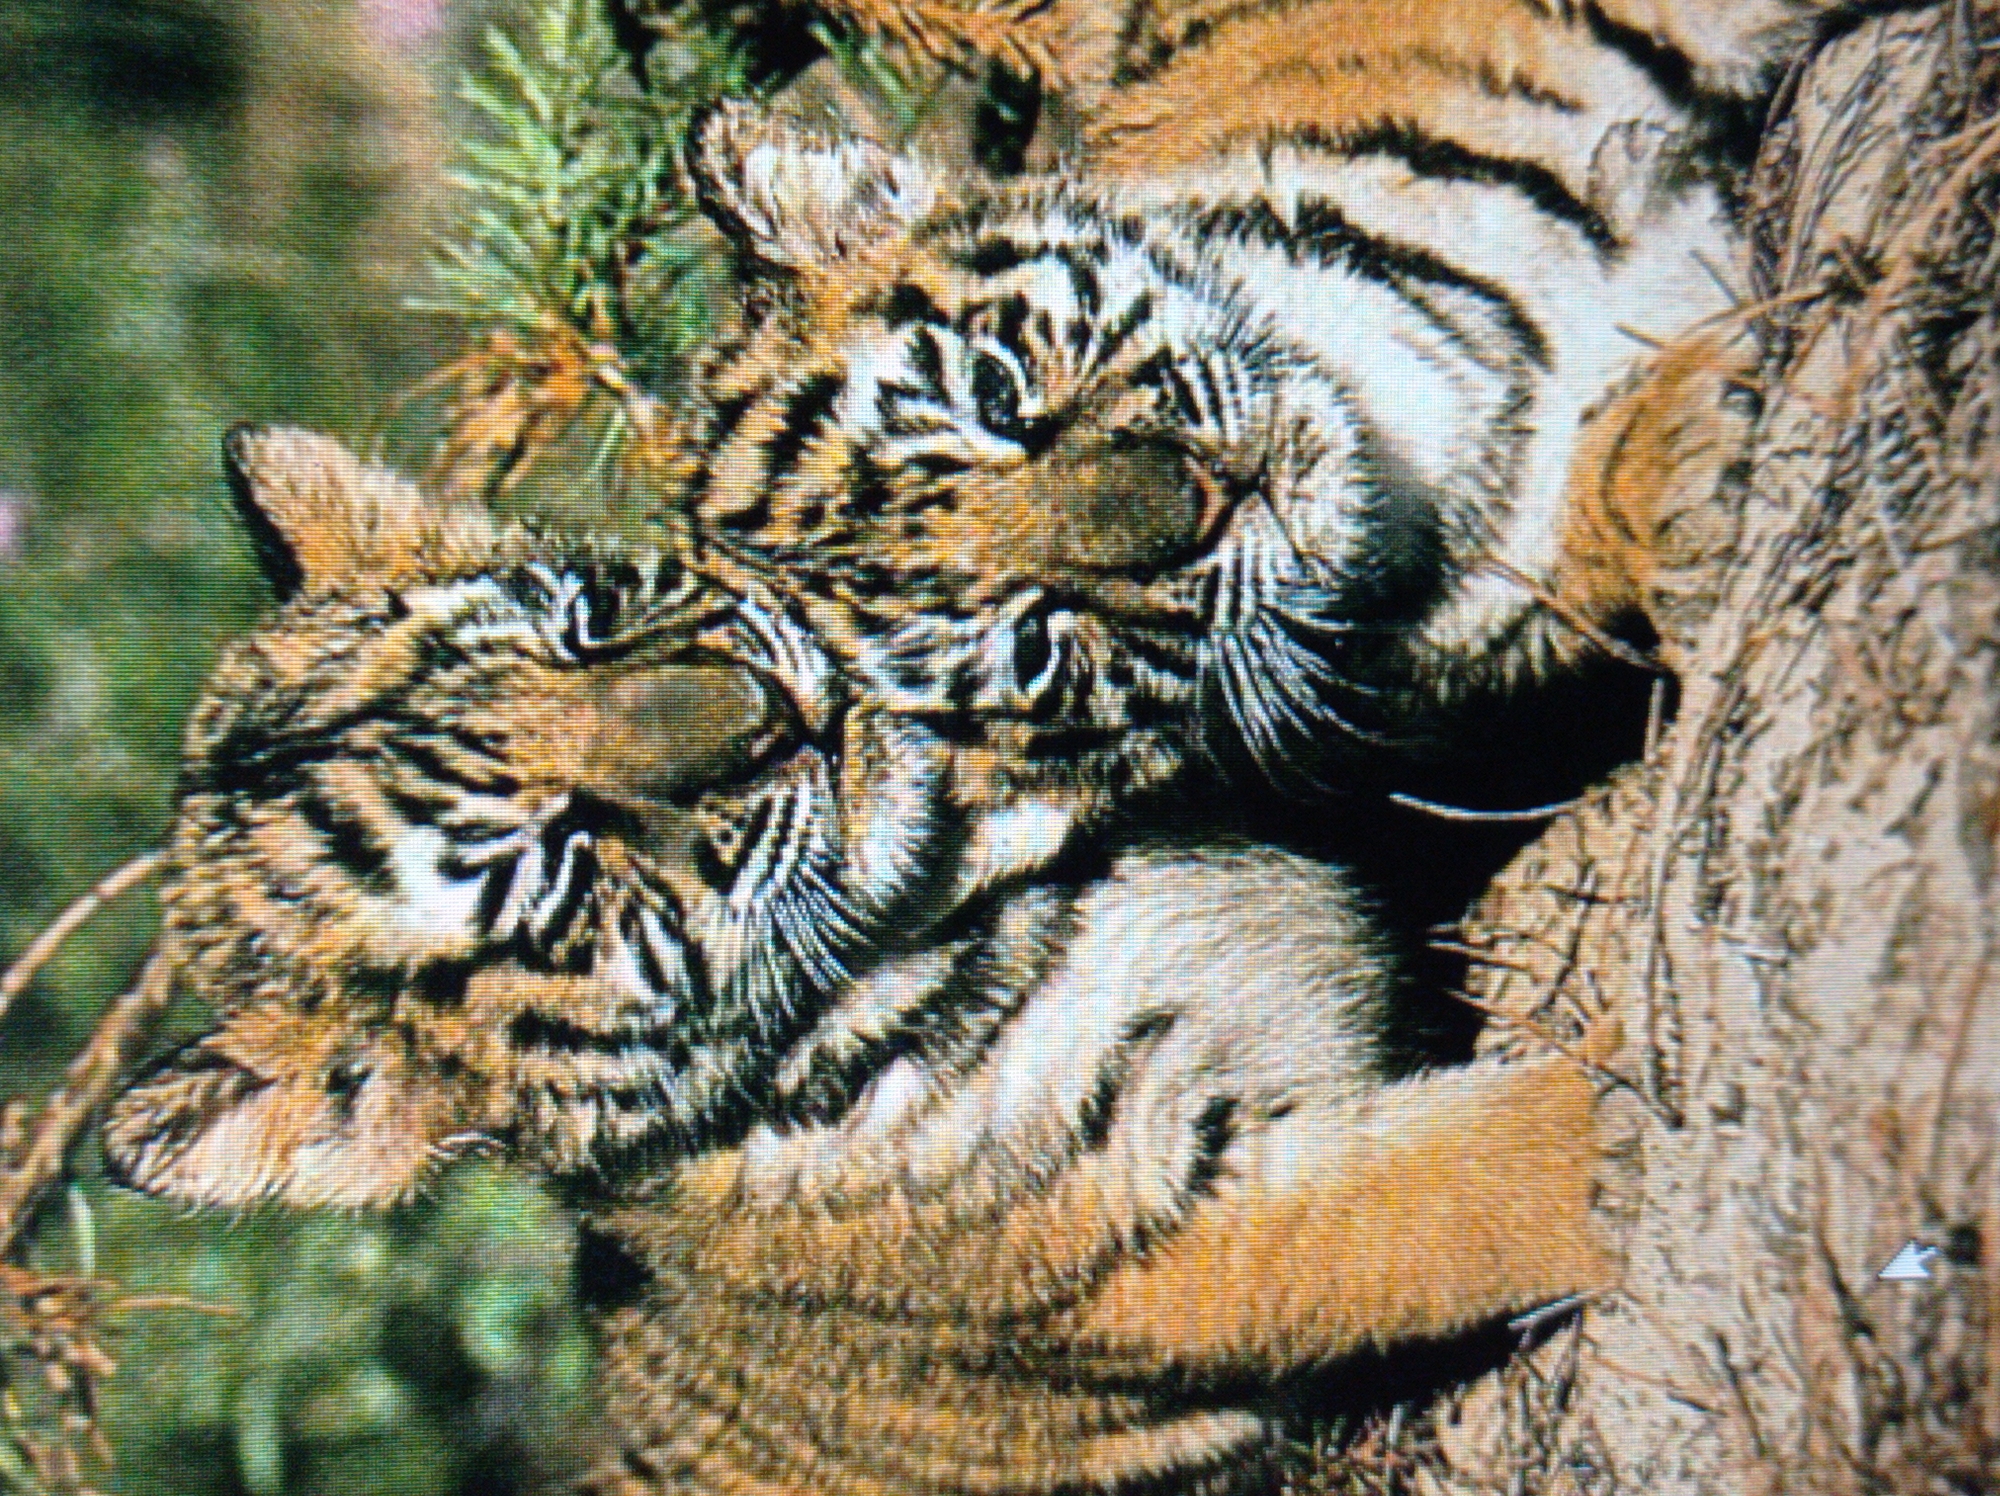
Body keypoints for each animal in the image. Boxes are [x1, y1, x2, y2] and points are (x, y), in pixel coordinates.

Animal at [103, 428, 1618, 1495]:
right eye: (559, 860)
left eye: (585, 623)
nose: (772, 715)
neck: (971, 904)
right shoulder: (1182, 1230)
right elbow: (1474, 1183)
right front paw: (1641, 1122)